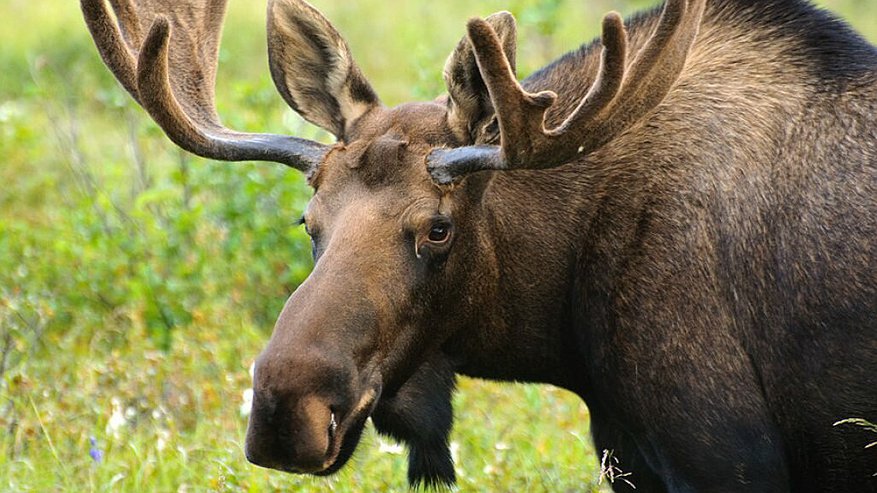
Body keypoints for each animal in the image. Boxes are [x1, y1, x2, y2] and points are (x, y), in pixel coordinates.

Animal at [78, 0, 872, 490]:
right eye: (309, 223)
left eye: (439, 228)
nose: (284, 410)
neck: (560, 332)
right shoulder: (628, 453)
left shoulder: (724, 453)